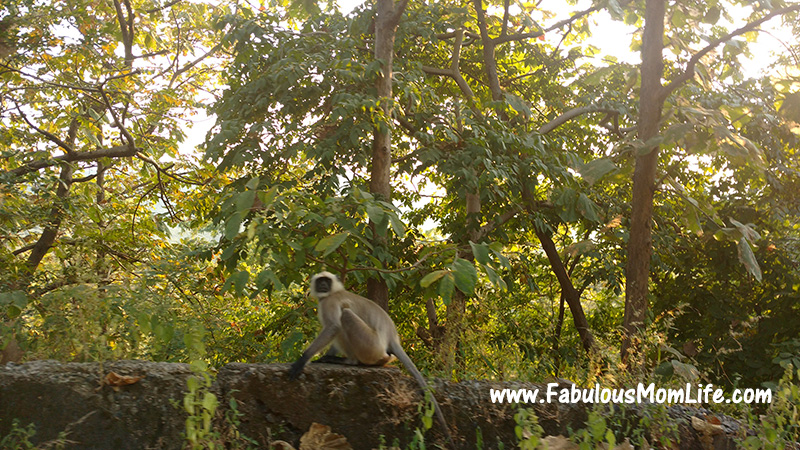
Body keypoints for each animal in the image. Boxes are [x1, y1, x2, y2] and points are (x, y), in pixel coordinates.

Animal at [288, 270, 454, 446]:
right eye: (320, 281)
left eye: (327, 280)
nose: (323, 285)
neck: (334, 292)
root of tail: (391, 337)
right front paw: (326, 356)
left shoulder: (330, 302)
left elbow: (333, 326)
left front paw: (303, 360)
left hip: (370, 344)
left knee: (345, 315)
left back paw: (350, 361)